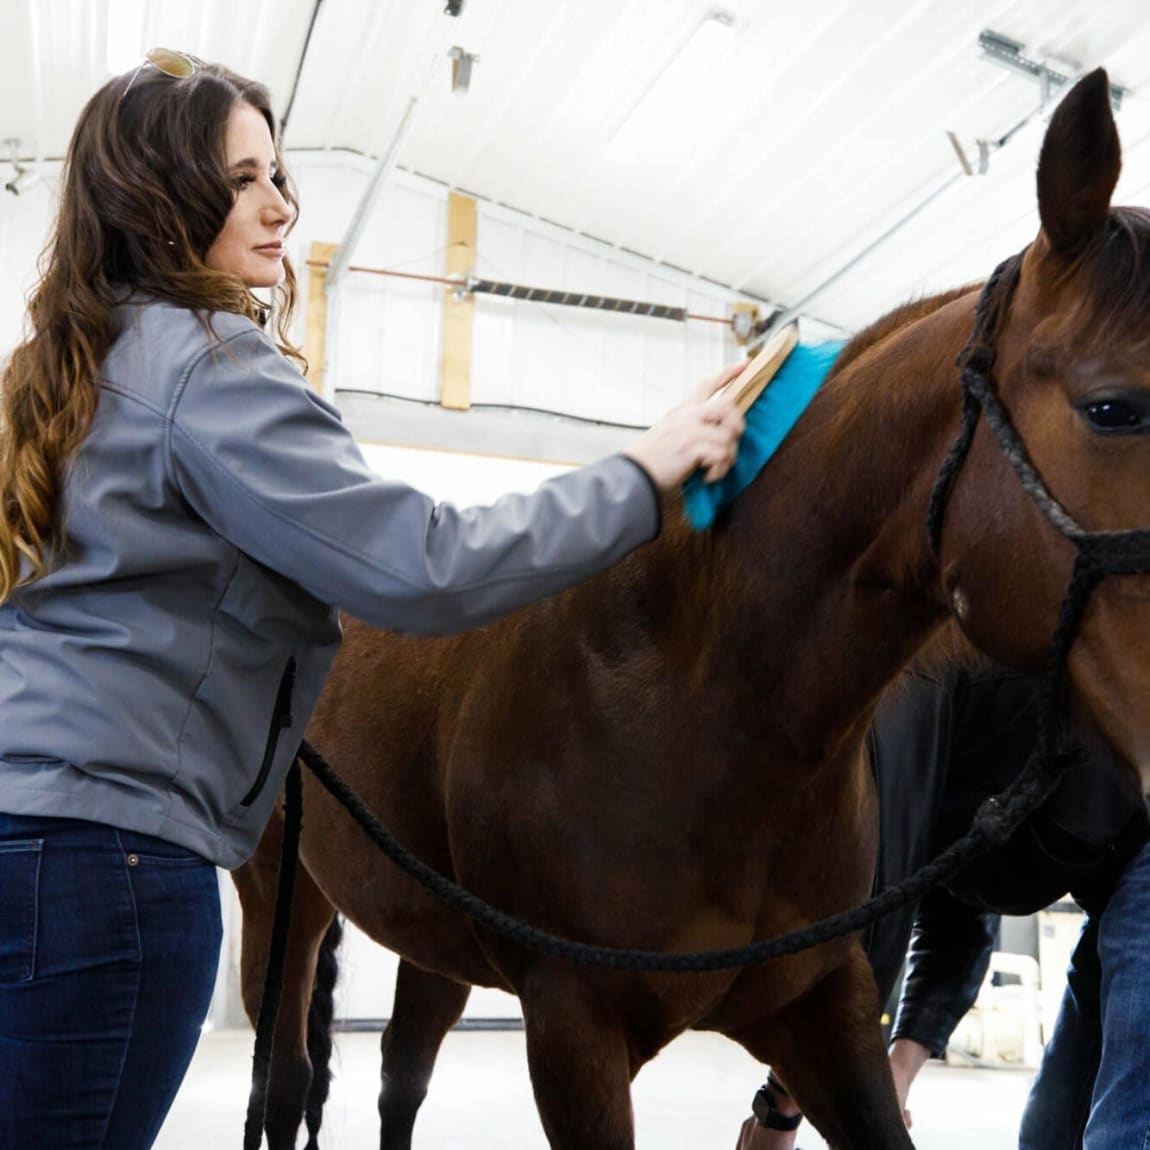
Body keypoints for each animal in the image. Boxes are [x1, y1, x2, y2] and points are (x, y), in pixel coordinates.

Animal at [231, 74, 1150, 1150]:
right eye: (1112, 409)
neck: (705, 700)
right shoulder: (574, 1029)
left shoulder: (823, 1009)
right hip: (281, 896)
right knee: (283, 1079)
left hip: (428, 939)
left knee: (398, 1078)